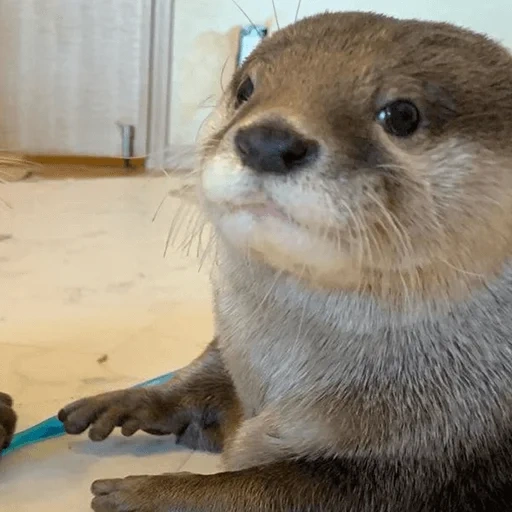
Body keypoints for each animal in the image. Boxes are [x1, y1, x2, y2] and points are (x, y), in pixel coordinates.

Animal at [58, 12, 512, 512]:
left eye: (401, 114)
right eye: (245, 88)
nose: (267, 141)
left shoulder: (430, 467)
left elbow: (265, 489)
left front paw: (153, 494)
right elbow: (209, 370)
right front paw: (135, 399)